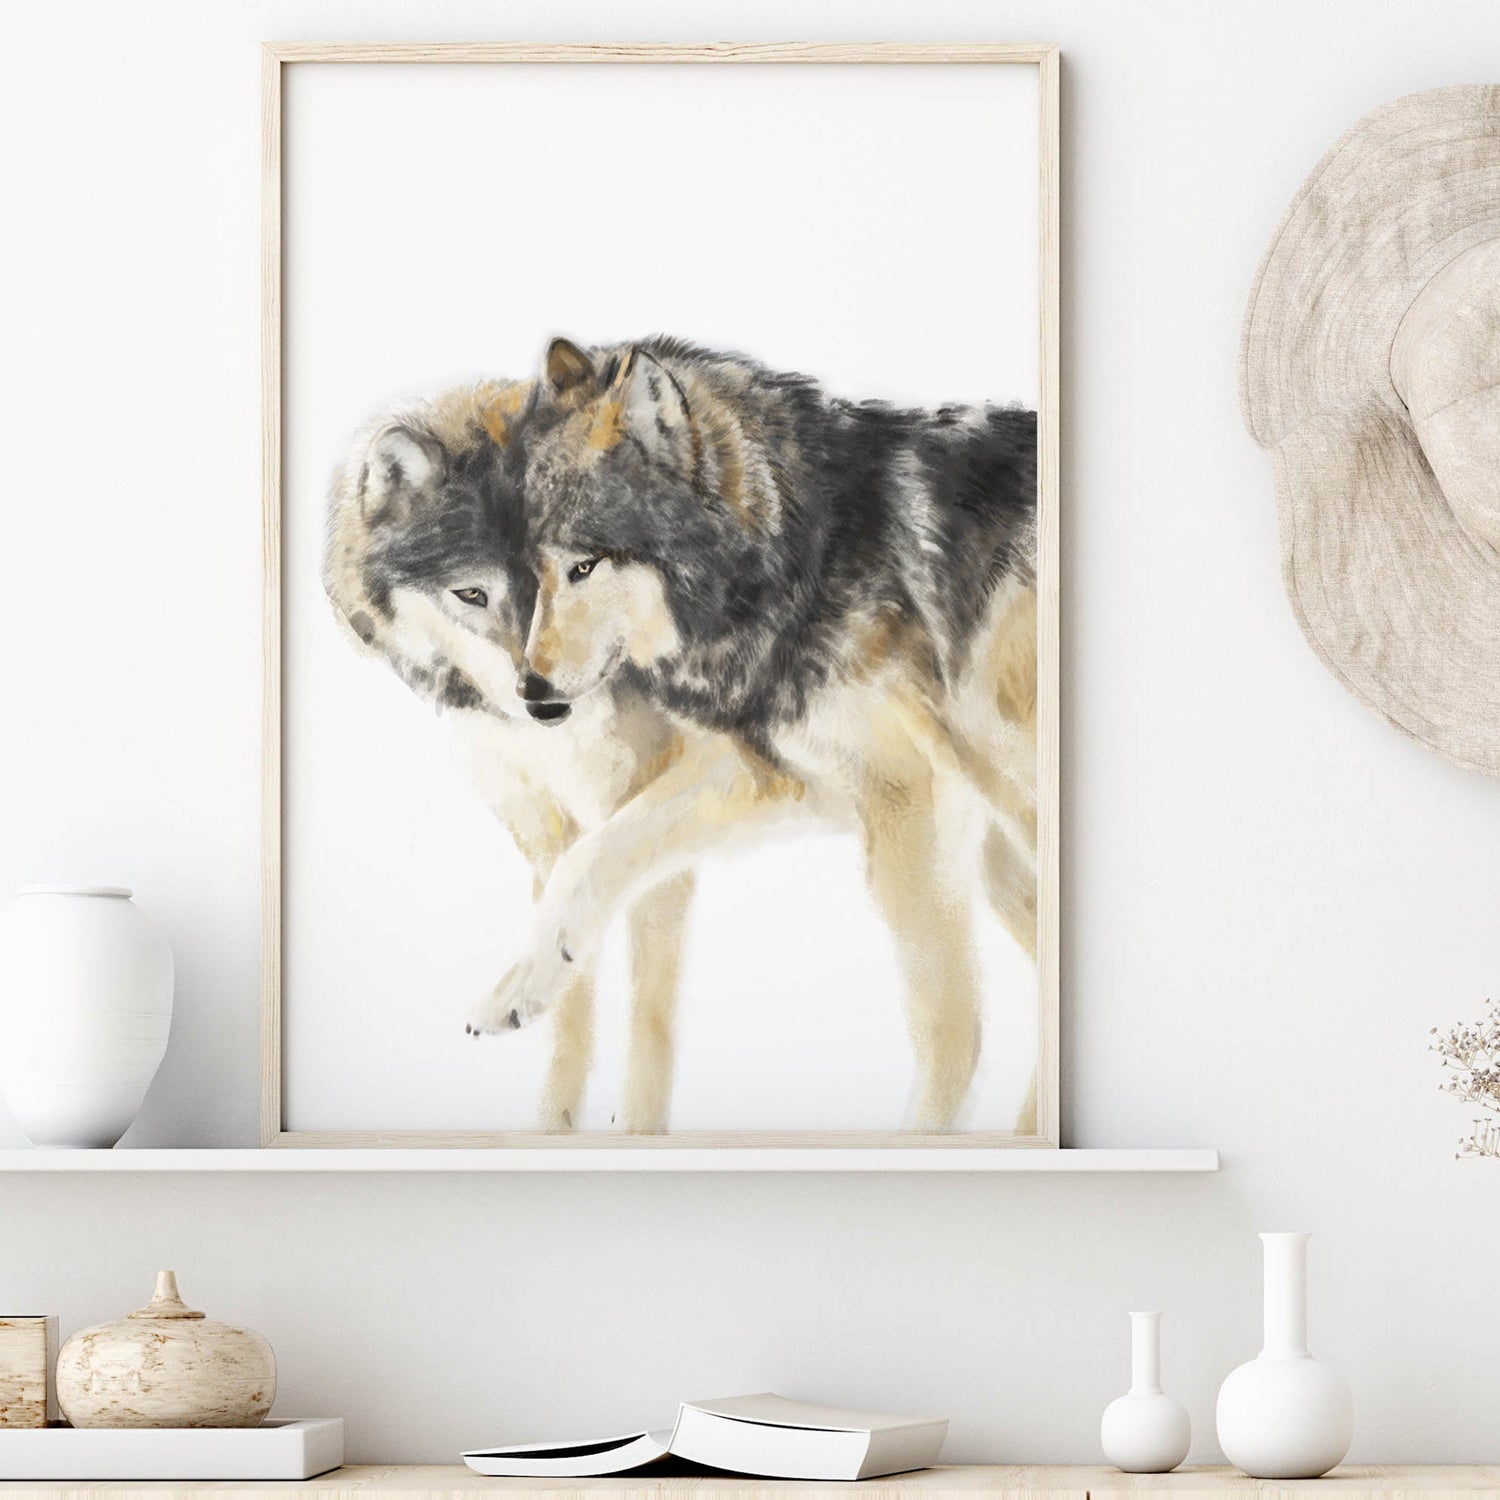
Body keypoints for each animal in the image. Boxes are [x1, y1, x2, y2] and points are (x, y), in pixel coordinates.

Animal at [324, 380, 708, 1133]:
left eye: (581, 572)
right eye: (472, 593)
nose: (545, 704)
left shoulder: (651, 831)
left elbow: (649, 1014)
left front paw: (640, 1130)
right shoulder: (546, 832)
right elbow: (568, 992)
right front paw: (552, 1125)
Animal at [470, 338, 1040, 1132]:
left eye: (585, 564)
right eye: (535, 572)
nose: (531, 693)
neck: (800, 557)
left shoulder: (906, 795)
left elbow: (949, 1026)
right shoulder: (779, 775)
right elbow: (594, 852)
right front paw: (525, 984)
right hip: (998, 843)